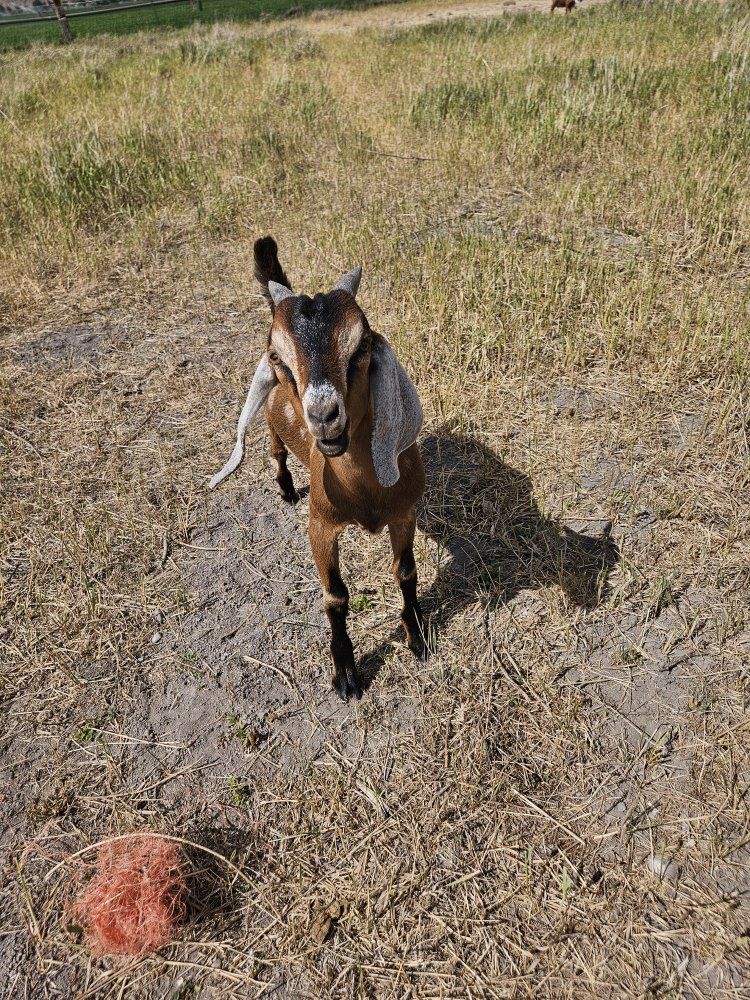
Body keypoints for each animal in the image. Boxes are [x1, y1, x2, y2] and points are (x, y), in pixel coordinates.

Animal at [209, 237, 426, 700]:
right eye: (277, 356)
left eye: (361, 345)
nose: (324, 416)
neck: (365, 495)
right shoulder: (321, 525)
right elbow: (336, 597)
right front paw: (346, 674)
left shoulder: (405, 513)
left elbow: (405, 571)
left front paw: (418, 636)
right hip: (272, 424)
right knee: (275, 451)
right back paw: (287, 487)